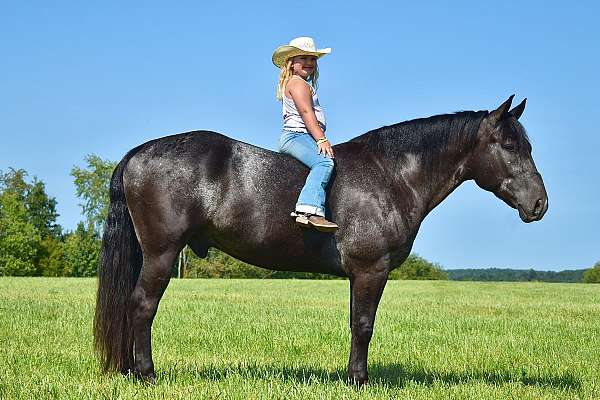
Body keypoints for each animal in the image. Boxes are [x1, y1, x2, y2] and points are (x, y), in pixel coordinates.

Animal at [94, 95, 548, 386]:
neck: (390, 176)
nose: (540, 203)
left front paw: (352, 377)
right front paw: (360, 381)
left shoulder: (358, 275)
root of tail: (138, 153)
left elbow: (355, 322)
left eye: (528, 145)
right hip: (161, 254)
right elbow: (364, 325)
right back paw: (147, 375)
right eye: (509, 145)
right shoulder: (371, 269)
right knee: (142, 306)